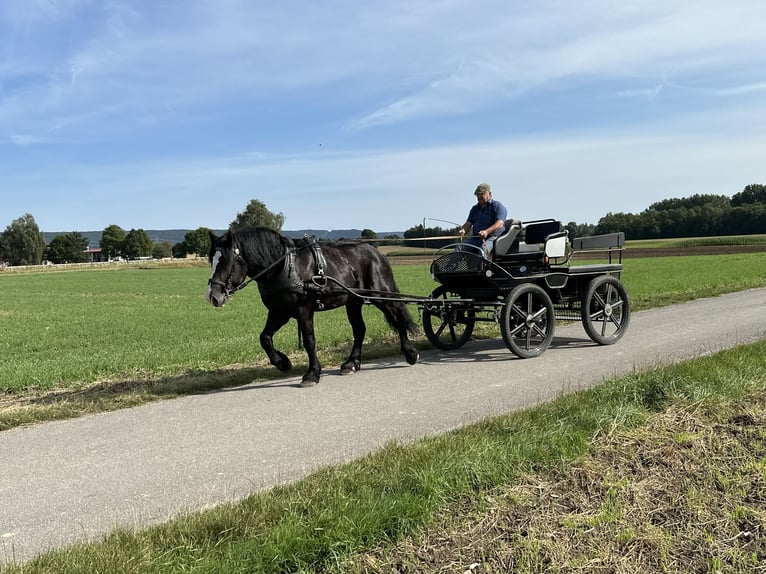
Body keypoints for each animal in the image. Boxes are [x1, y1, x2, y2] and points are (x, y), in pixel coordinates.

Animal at [207, 228, 420, 388]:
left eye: (226, 261)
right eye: (211, 259)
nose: (213, 296)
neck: (284, 266)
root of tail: (376, 253)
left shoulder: (304, 309)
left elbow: (309, 341)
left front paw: (312, 374)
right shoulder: (279, 311)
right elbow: (265, 338)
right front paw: (283, 363)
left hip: (381, 296)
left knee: (398, 319)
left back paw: (410, 353)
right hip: (353, 302)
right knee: (360, 329)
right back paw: (351, 364)